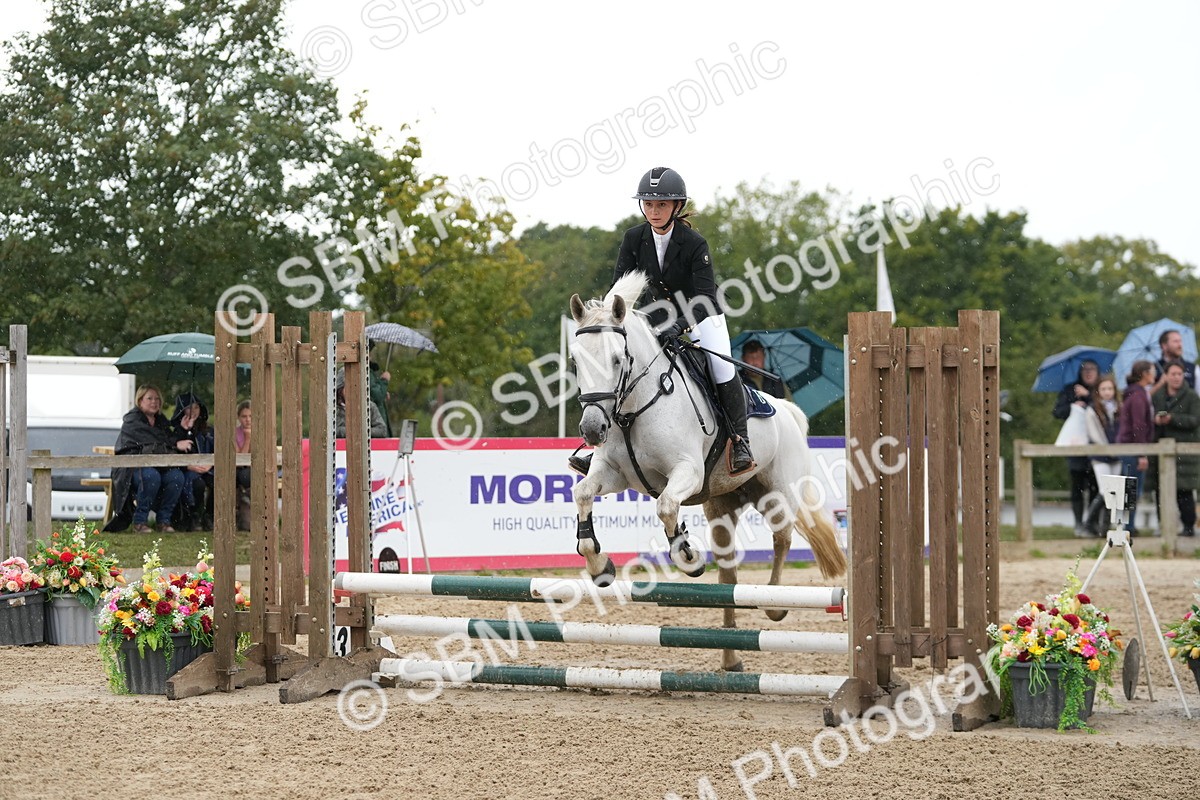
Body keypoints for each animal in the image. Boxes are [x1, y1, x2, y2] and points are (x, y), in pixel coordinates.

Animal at [569, 272, 847, 672]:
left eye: (618, 359)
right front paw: (598, 565)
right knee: (730, 573)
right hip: (722, 505)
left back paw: (774, 605)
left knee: (782, 539)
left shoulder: (686, 472)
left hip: (778, 494)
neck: (633, 410)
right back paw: (730, 659)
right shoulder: (612, 473)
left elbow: (666, 506)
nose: (592, 429)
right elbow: (582, 493)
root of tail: (787, 410)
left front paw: (688, 558)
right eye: (576, 361)